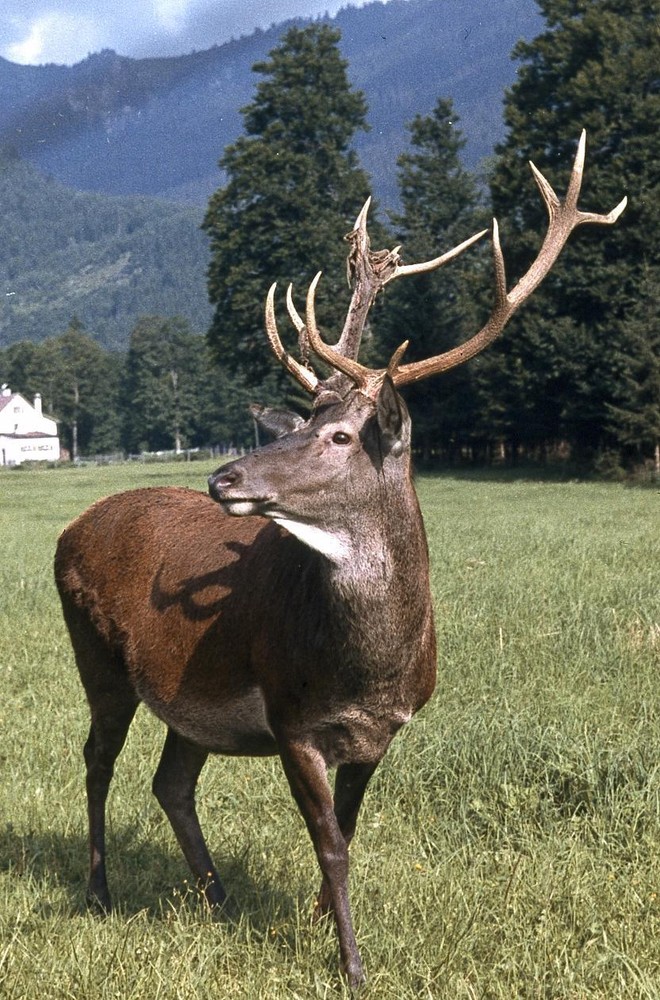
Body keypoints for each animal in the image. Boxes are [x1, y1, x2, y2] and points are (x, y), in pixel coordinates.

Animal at [54, 132, 624, 989]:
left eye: (339, 435)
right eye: (301, 422)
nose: (224, 477)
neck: (369, 668)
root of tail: (68, 531)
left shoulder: (382, 731)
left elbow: (347, 836)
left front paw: (321, 924)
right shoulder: (292, 719)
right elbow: (329, 844)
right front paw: (352, 964)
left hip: (187, 694)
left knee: (171, 781)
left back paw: (218, 899)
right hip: (96, 655)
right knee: (96, 760)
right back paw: (98, 890)